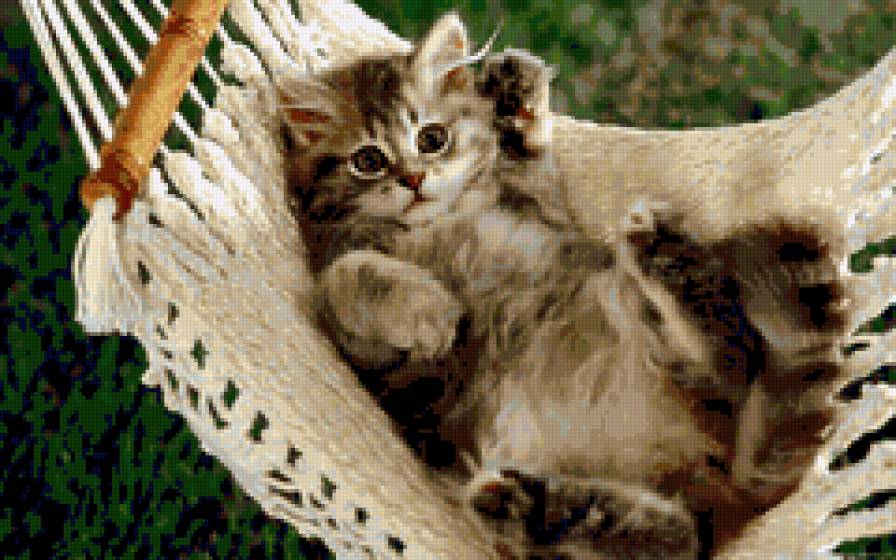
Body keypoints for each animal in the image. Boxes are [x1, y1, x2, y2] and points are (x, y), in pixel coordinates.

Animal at [279, 13, 850, 559]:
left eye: (431, 138)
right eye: (368, 160)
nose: (415, 181)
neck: (435, 223)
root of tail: (722, 474)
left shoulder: (544, 216)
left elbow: (529, 166)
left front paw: (512, 99)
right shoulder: (387, 364)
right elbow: (347, 273)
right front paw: (430, 307)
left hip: (619, 298)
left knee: (734, 365)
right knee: (684, 531)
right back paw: (535, 510)